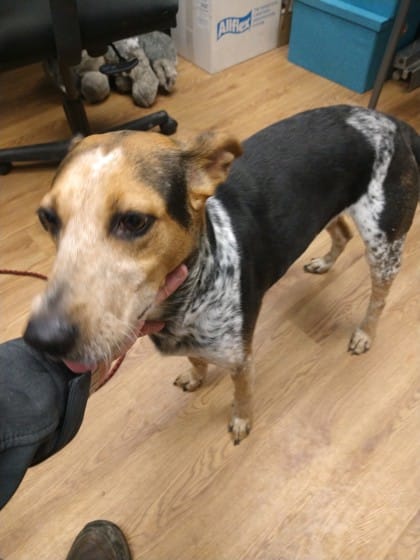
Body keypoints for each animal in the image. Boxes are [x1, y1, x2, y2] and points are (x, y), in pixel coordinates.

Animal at [24, 105, 420, 444]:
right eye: (46, 218)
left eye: (134, 221)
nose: (42, 339)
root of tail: (390, 121)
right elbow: (196, 358)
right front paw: (196, 377)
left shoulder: (240, 358)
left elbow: (242, 393)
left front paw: (242, 421)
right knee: (341, 232)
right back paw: (324, 262)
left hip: (384, 243)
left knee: (378, 298)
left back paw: (365, 334)